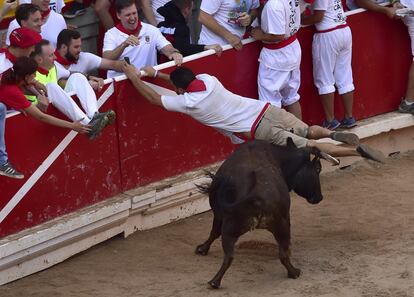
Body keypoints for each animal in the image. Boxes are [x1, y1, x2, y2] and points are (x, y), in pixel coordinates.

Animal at [194, 138, 334, 286]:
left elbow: (214, 231)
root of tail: (257, 196)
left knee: (230, 256)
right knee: (280, 254)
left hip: (236, 227)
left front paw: (202, 249)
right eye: (318, 169)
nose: (319, 197)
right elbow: (214, 232)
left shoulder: (219, 214)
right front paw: (202, 249)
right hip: (281, 225)